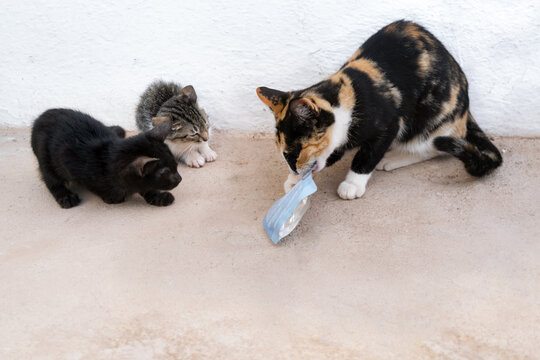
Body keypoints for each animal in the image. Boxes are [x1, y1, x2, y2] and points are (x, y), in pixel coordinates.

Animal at [30, 107, 182, 208]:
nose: (179, 178)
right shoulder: (78, 169)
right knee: (51, 179)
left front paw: (158, 196)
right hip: (45, 157)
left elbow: (145, 186)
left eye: (176, 165)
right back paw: (65, 196)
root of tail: (43, 115)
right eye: (165, 172)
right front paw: (113, 197)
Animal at [256, 20, 502, 200]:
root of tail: (466, 108)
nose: (294, 168)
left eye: (296, 150)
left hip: (433, 117)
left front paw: (352, 183)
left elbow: (368, 154)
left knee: (434, 146)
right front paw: (294, 181)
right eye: (284, 153)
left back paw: (392, 158)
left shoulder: (390, 124)